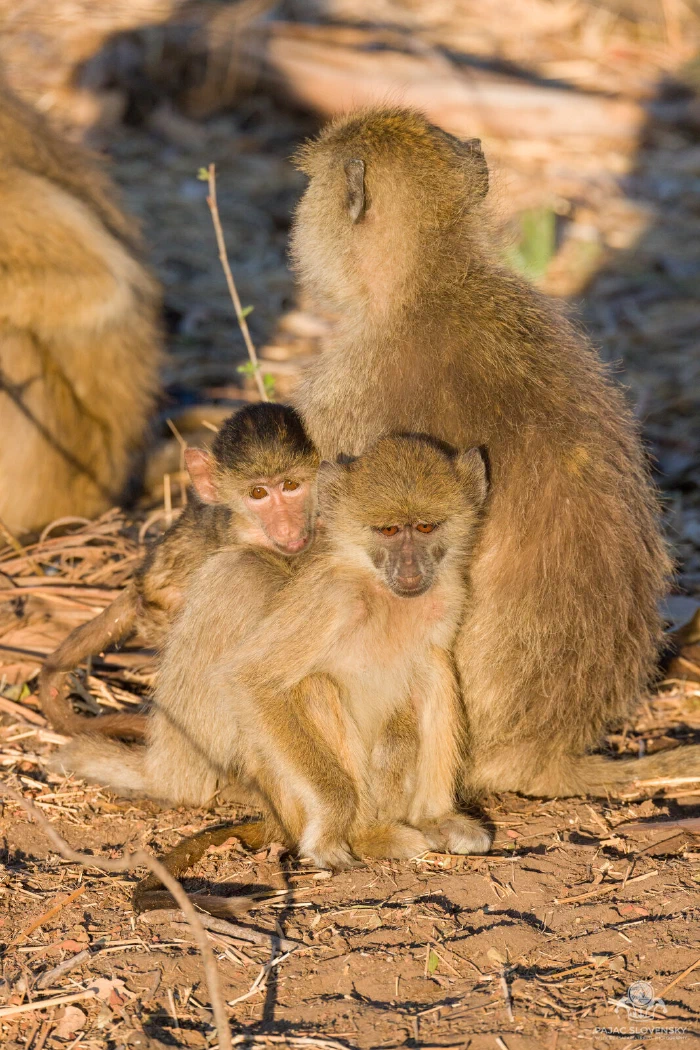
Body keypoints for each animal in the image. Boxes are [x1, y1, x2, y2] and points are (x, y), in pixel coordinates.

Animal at [51, 434, 493, 871]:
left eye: (425, 526)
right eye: (388, 530)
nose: (410, 569)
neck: (383, 593)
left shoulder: (446, 592)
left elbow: (430, 667)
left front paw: (435, 815)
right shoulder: (330, 599)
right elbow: (252, 679)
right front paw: (332, 830)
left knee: (434, 672)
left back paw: (432, 818)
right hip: (286, 795)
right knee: (313, 683)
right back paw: (367, 835)